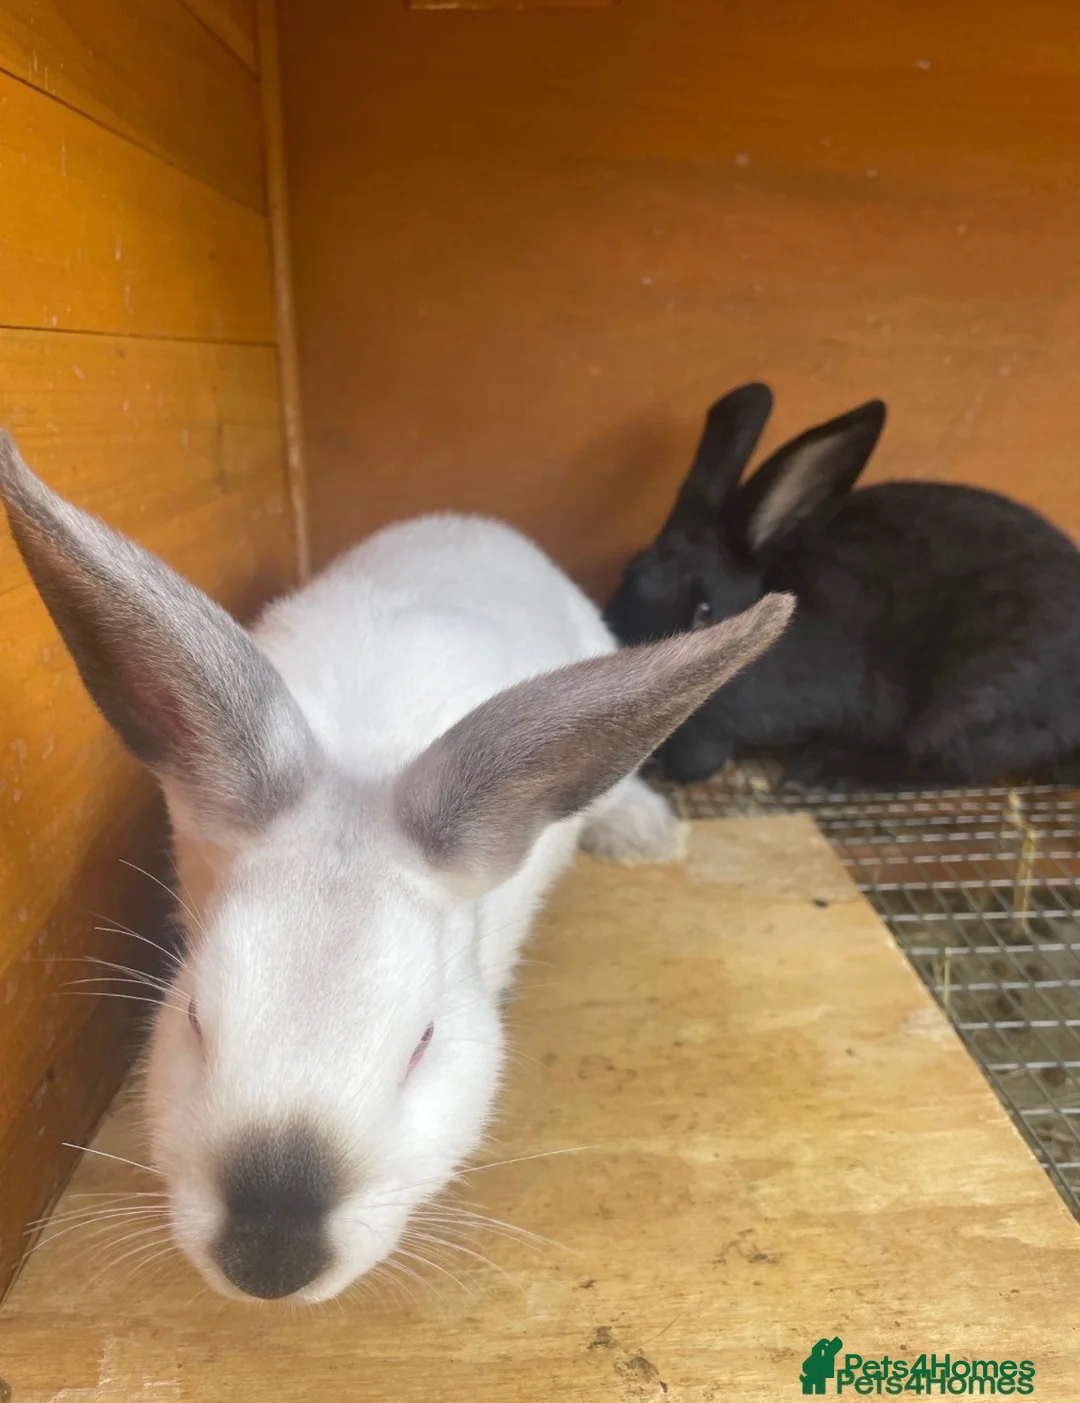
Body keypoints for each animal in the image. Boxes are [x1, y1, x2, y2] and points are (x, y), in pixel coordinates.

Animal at [0, 430, 792, 1304]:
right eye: (194, 1019)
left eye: (424, 1041)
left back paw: (643, 833)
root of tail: (477, 524)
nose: (269, 1260)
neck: (362, 764)